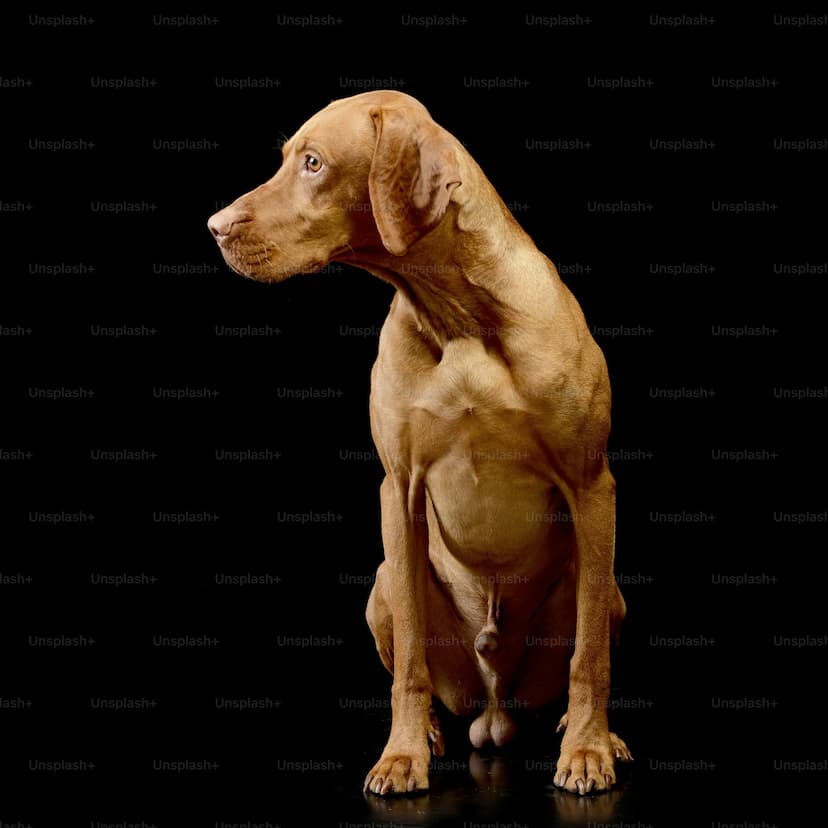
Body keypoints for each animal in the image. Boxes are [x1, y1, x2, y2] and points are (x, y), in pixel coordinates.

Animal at [210, 89, 632, 796]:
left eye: (314, 163)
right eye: (289, 158)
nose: (215, 226)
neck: (458, 316)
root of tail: (494, 706)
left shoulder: (591, 484)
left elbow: (589, 655)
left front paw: (587, 749)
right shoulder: (398, 489)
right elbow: (410, 659)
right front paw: (403, 755)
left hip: (611, 590)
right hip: (381, 585)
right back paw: (433, 733)